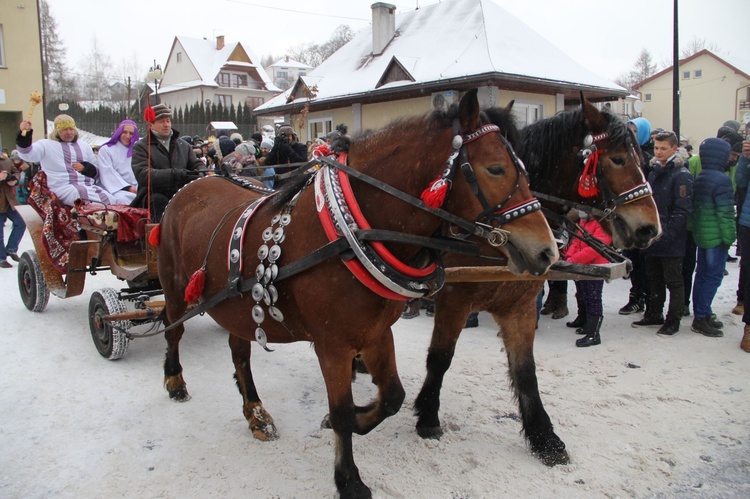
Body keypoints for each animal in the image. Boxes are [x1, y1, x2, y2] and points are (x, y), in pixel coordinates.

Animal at [156, 90, 560, 499]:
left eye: (525, 171)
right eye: (495, 169)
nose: (548, 251)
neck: (349, 236)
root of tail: (193, 186)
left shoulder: (377, 331)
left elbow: (393, 396)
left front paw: (362, 420)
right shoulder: (332, 345)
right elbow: (340, 411)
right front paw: (348, 479)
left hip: (236, 308)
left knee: (239, 352)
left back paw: (255, 412)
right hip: (174, 290)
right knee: (173, 330)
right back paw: (175, 381)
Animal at [412, 97, 664, 464]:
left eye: (642, 159)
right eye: (618, 159)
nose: (649, 229)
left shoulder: (520, 306)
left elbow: (526, 371)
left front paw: (544, 436)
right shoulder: (454, 301)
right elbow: (440, 358)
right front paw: (428, 416)